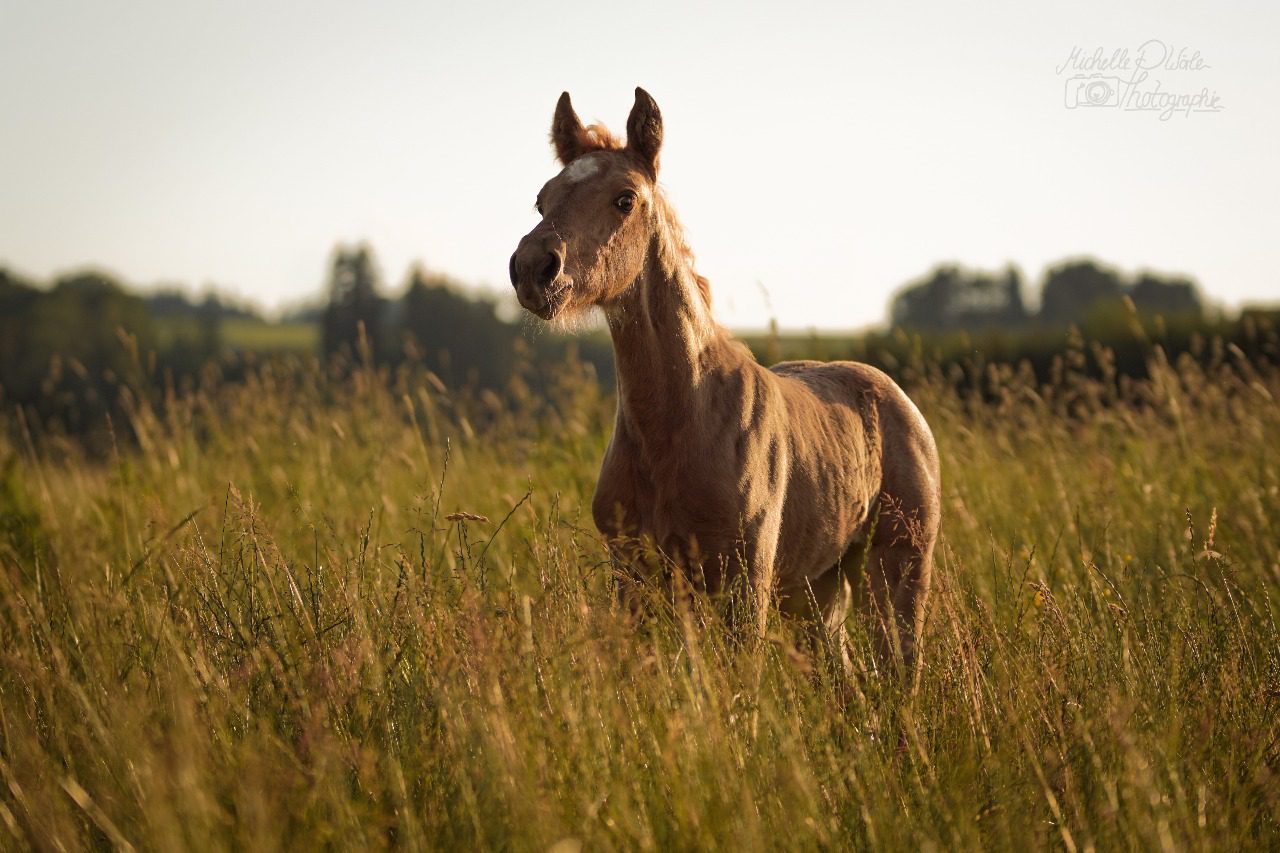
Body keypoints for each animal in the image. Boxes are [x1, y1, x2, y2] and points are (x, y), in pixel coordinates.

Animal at [509, 84, 942, 671]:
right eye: (542, 200)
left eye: (625, 199)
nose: (534, 269)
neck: (676, 424)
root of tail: (899, 401)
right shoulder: (634, 577)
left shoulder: (744, 581)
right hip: (816, 587)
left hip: (898, 566)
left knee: (900, 668)